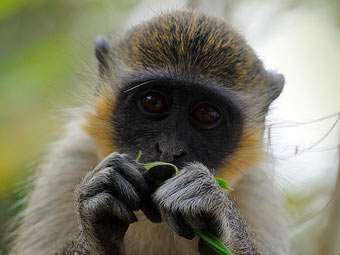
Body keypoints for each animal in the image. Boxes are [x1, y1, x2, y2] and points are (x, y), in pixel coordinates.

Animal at [11, 9, 290, 255]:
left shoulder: (258, 192)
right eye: (153, 102)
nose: (169, 149)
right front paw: (99, 214)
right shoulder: (67, 162)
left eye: (206, 114)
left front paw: (213, 207)